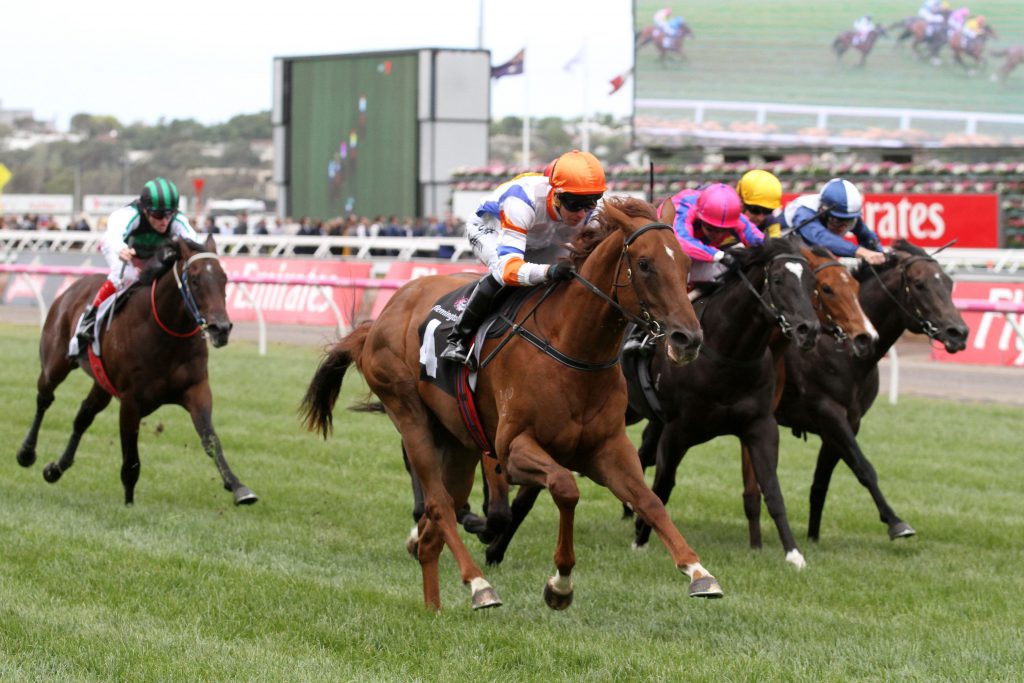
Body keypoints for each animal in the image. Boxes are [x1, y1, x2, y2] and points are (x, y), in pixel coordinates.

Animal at [16, 235, 258, 507]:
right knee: (45, 398)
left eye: (224, 278)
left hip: (102, 384)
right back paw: (26, 453)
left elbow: (211, 440)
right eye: (194, 279)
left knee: (83, 416)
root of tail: (71, 289)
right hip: (55, 363)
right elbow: (131, 460)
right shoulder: (131, 401)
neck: (166, 334)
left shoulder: (197, 389)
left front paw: (239, 487)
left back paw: (55, 469)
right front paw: (129, 505)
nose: (221, 329)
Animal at [301, 198, 717, 612]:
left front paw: (698, 571)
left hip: (458, 440)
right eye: (644, 264)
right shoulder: (514, 449)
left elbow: (650, 501)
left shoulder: (606, 449)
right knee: (439, 506)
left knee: (434, 530)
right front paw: (559, 585)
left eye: (685, 263)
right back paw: (478, 585)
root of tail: (383, 316)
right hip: (409, 414)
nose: (688, 338)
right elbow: (566, 488)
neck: (571, 348)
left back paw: (433, 604)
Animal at [772, 240, 968, 542]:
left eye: (949, 283)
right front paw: (896, 522)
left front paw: (813, 538)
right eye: (920, 284)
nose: (959, 332)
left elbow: (821, 483)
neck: (843, 349)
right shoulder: (828, 412)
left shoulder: (847, 423)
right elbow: (864, 468)